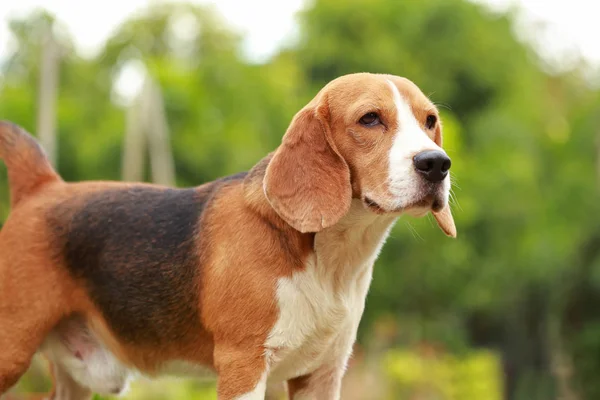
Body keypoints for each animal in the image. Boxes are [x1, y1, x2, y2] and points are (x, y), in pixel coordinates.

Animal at [0, 72, 454, 400]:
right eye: (370, 119)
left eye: (430, 121)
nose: (436, 163)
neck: (330, 258)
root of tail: (43, 186)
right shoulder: (244, 366)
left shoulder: (321, 374)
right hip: (12, 352)